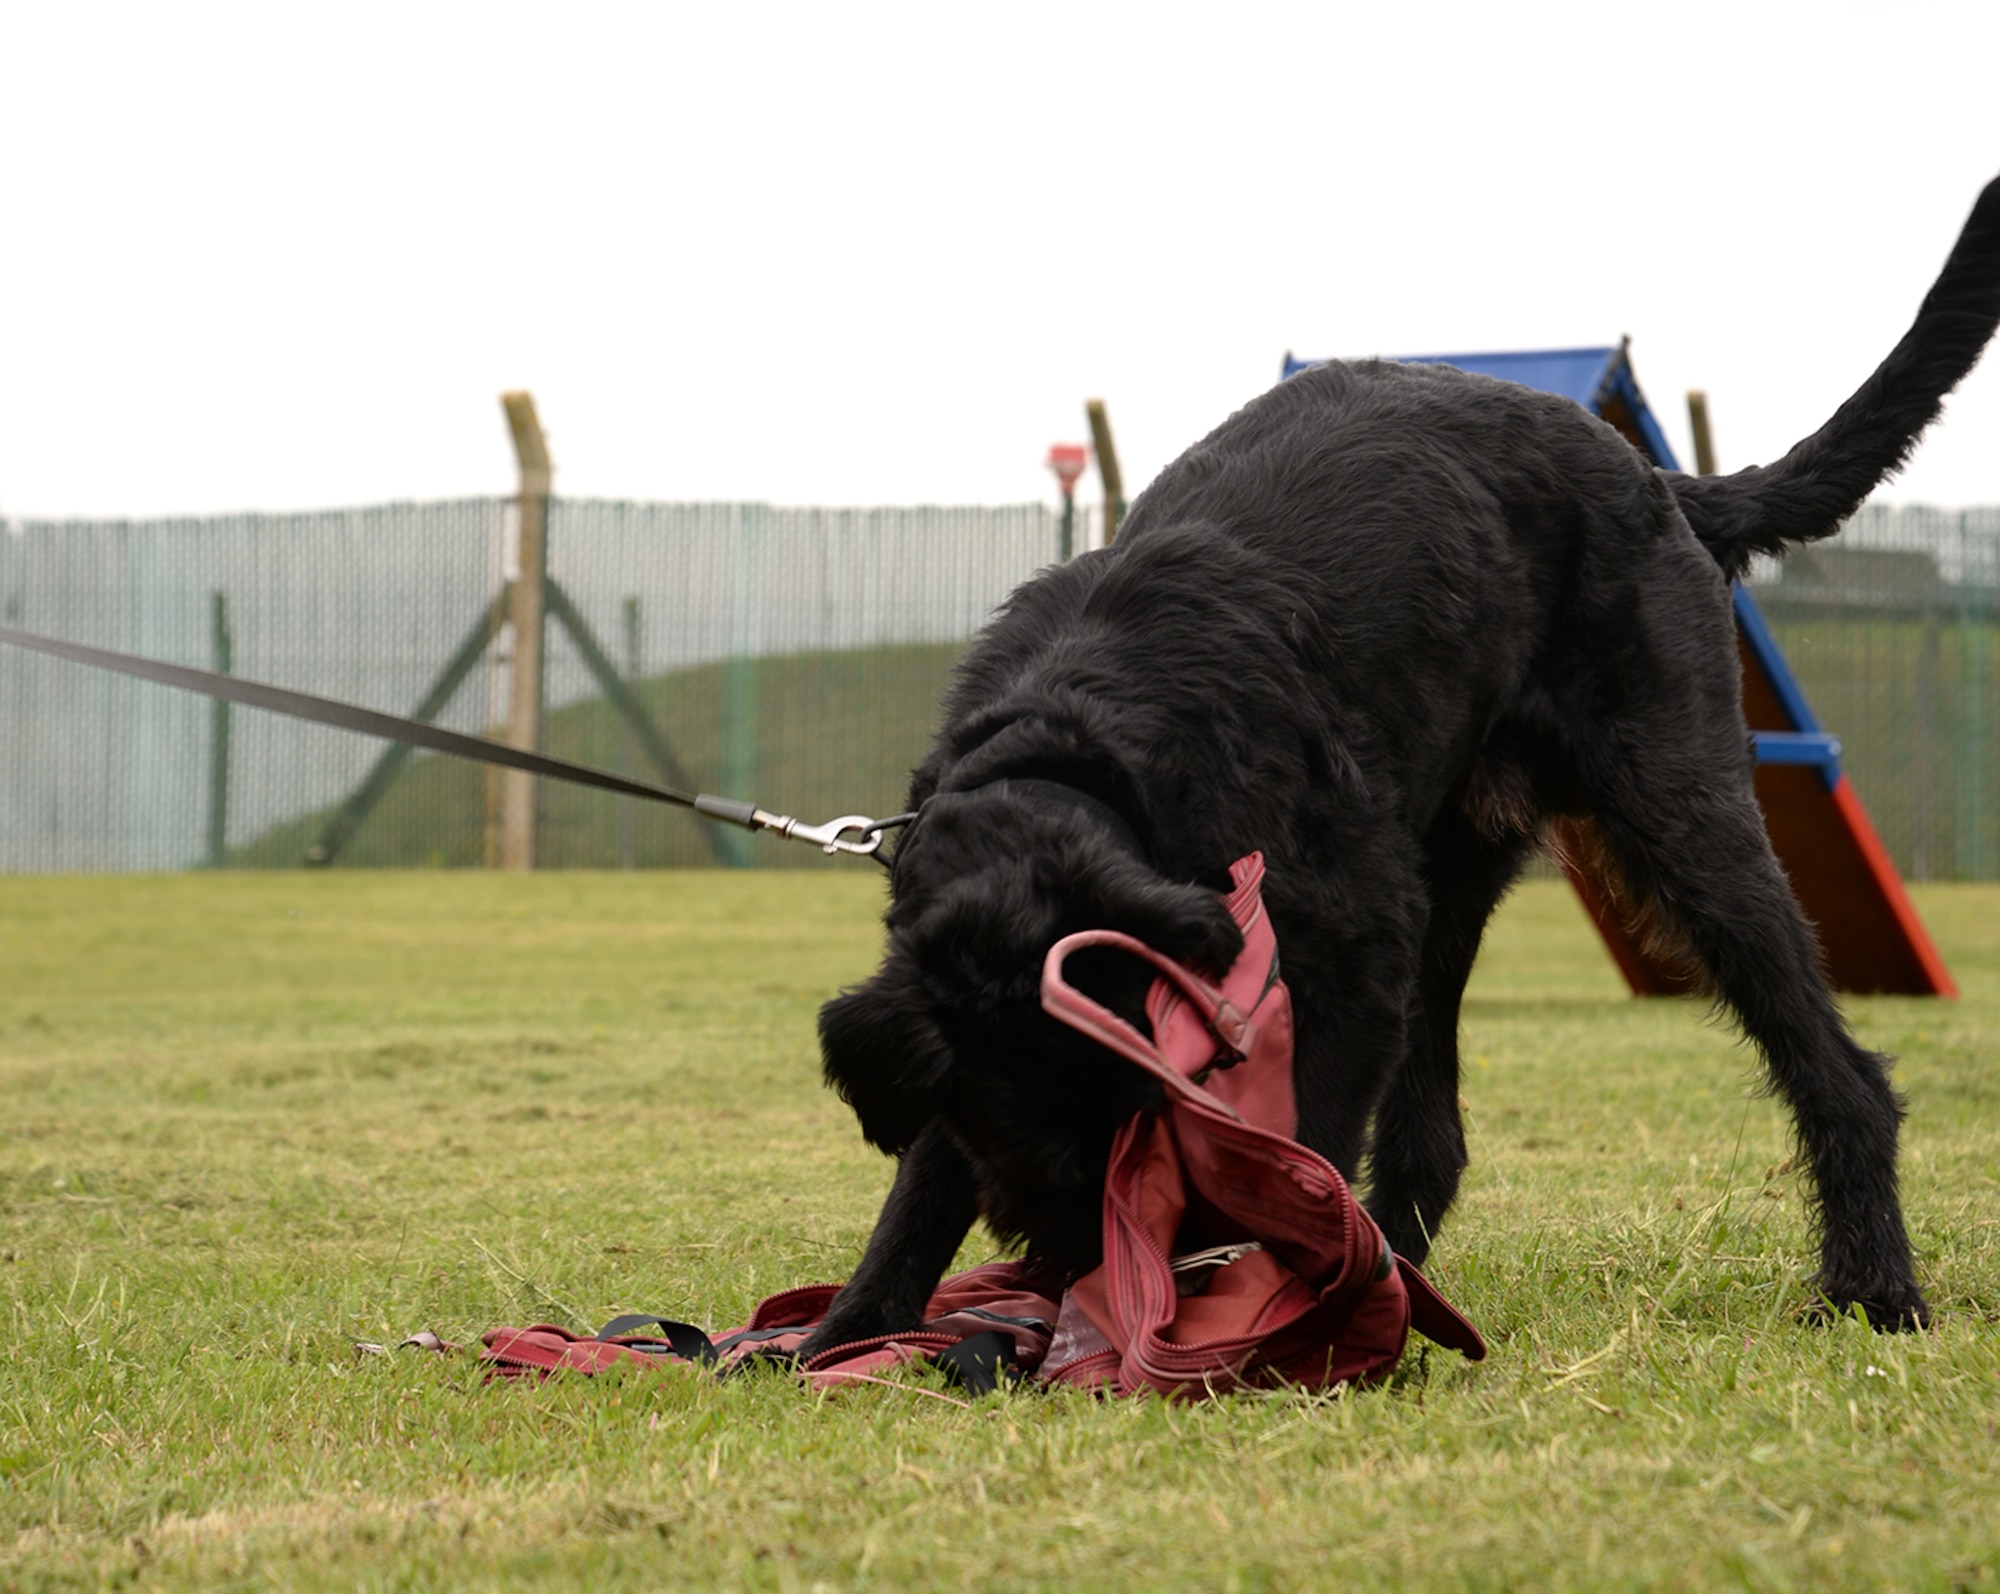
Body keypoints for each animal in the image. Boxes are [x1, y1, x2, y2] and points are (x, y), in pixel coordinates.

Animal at [800, 174, 2000, 1344]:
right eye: (1003, 1107)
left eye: (1126, 1092)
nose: (1077, 1259)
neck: (1083, 739)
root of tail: (1664, 487)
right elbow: (923, 1178)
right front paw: (850, 1326)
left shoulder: (1351, 953)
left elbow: (1313, 1151)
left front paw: (1287, 1324)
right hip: (1451, 886)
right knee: (1432, 1138)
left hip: (1682, 821)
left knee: (1838, 1070)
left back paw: (1873, 1288)